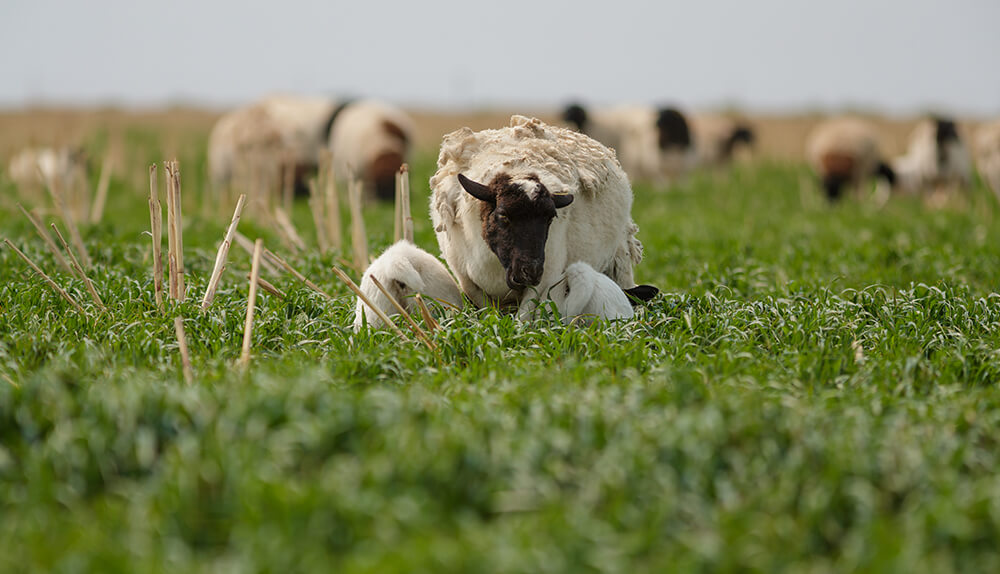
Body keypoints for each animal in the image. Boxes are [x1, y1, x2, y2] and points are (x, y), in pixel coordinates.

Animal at [428, 112, 656, 320]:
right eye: (503, 216)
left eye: (550, 218)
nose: (531, 271)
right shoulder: (467, 280)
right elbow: (488, 313)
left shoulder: (546, 278)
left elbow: (524, 318)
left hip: (619, 261)